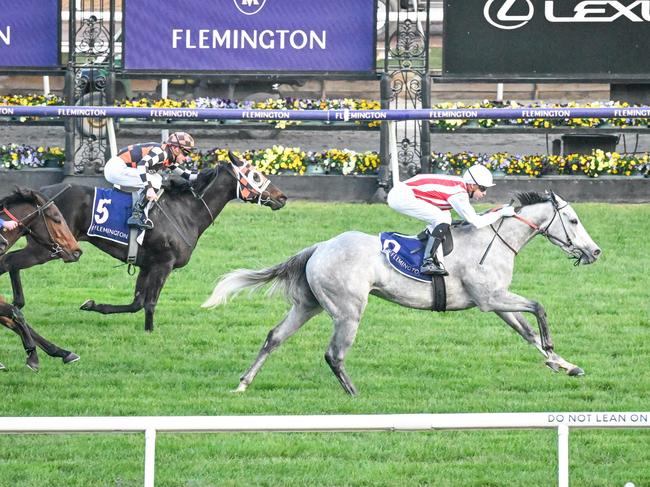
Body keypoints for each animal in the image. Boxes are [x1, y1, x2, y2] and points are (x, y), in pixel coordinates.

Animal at [0, 153, 284, 332]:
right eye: (256, 175)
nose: (282, 197)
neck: (186, 211)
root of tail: (41, 195)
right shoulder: (163, 264)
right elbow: (149, 302)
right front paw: (150, 331)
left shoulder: (147, 265)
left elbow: (135, 303)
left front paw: (93, 305)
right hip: (48, 248)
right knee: (9, 260)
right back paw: (17, 303)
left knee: (9, 262)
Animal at [0, 189, 81, 372]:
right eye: (57, 218)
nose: (77, 251)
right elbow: (16, 314)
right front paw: (32, 356)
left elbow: (14, 318)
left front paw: (62, 352)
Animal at [201, 192, 596, 396]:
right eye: (574, 221)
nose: (595, 251)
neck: (493, 239)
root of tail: (319, 247)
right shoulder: (490, 299)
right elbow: (539, 308)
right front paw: (553, 353)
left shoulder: (496, 300)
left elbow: (527, 331)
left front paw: (564, 364)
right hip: (348, 311)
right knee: (333, 354)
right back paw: (355, 396)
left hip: (309, 306)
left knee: (274, 337)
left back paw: (243, 384)